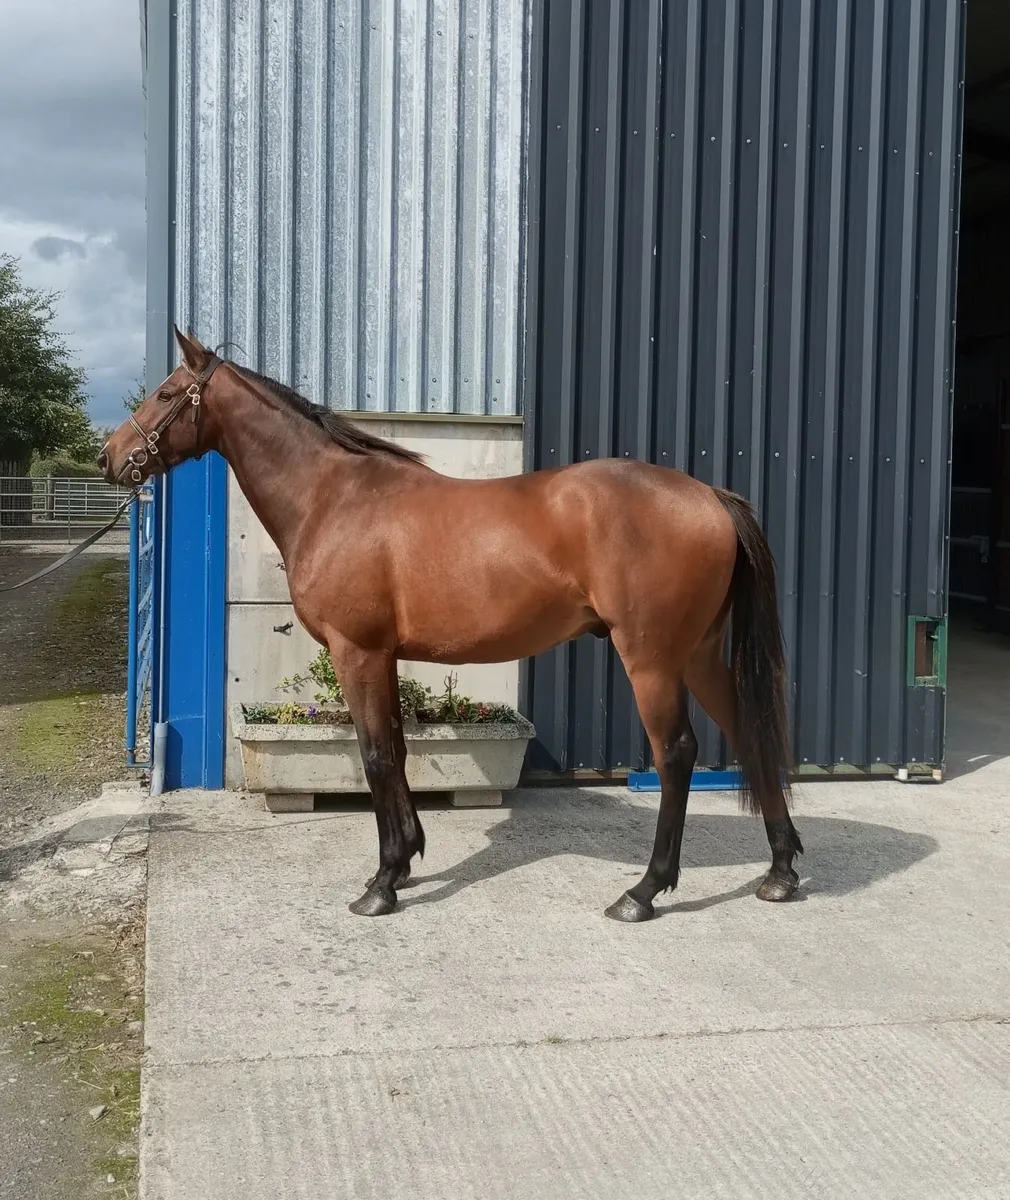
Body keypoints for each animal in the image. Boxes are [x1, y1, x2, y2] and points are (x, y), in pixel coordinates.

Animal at [100, 327, 803, 921]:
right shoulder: (382, 656)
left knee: (676, 753)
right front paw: (407, 858)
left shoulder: (357, 652)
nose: (110, 458)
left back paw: (644, 891)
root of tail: (712, 497)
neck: (333, 498)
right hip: (698, 654)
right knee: (748, 734)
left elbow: (376, 755)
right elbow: (397, 749)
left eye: (167, 394)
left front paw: (382, 884)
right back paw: (781, 870)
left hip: (652, 658)